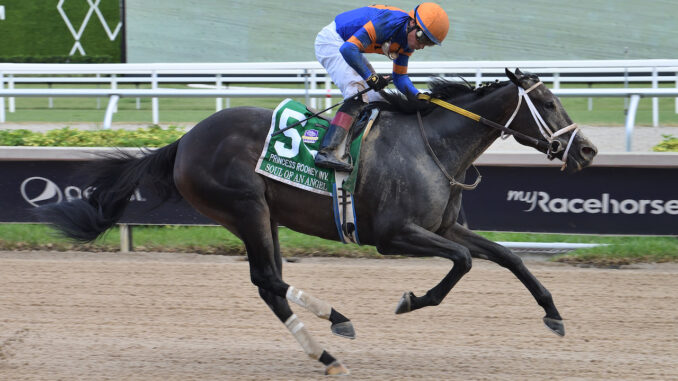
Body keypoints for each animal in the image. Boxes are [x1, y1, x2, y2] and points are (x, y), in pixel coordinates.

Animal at [38, 68, 600, 374]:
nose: (588, 151)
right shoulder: (394, 236)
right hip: (245, 207)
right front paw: (411, 300)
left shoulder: (441, 228)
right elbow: (462, 262)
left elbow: (507, 256)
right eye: (547, 101)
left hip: (263, 215)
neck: (433, 147)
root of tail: (185, 139)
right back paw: (332, 336)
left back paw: (331, 336)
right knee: (267, 281)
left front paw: (554, 313)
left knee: (272, 282)